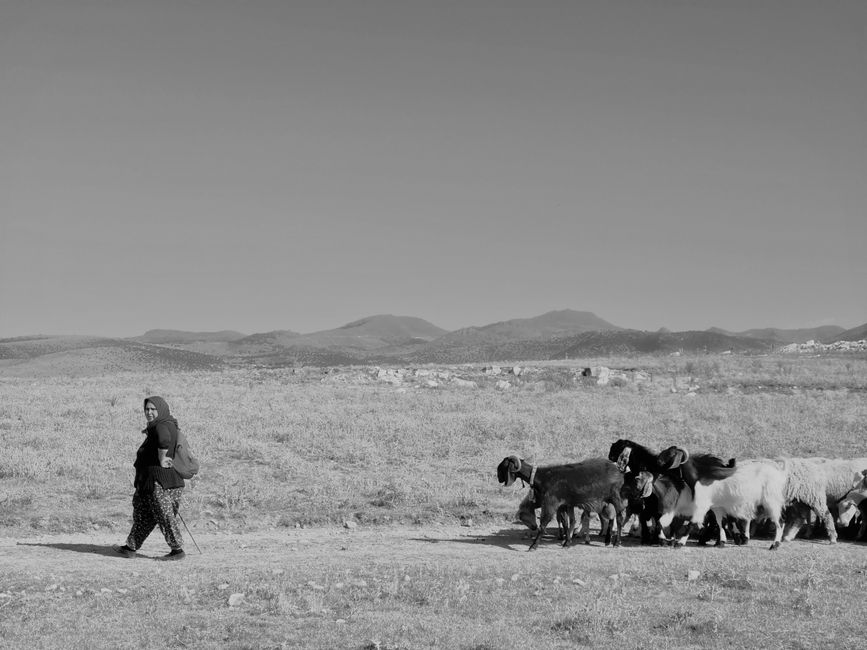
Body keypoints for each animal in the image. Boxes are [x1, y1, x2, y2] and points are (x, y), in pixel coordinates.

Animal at [497, 455, 626, 550]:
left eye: (502, 467)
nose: (498, 478)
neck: (542, 477)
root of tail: (618, 470)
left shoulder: (550, 503)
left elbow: (543, 524)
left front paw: (533, 546)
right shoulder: (565, 505)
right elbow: (568, 522)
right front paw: (567, 542)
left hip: (615, 496)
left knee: (619, 518)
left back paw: (617, 542)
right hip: (607, 501)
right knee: (611, 518)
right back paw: (607, 540)